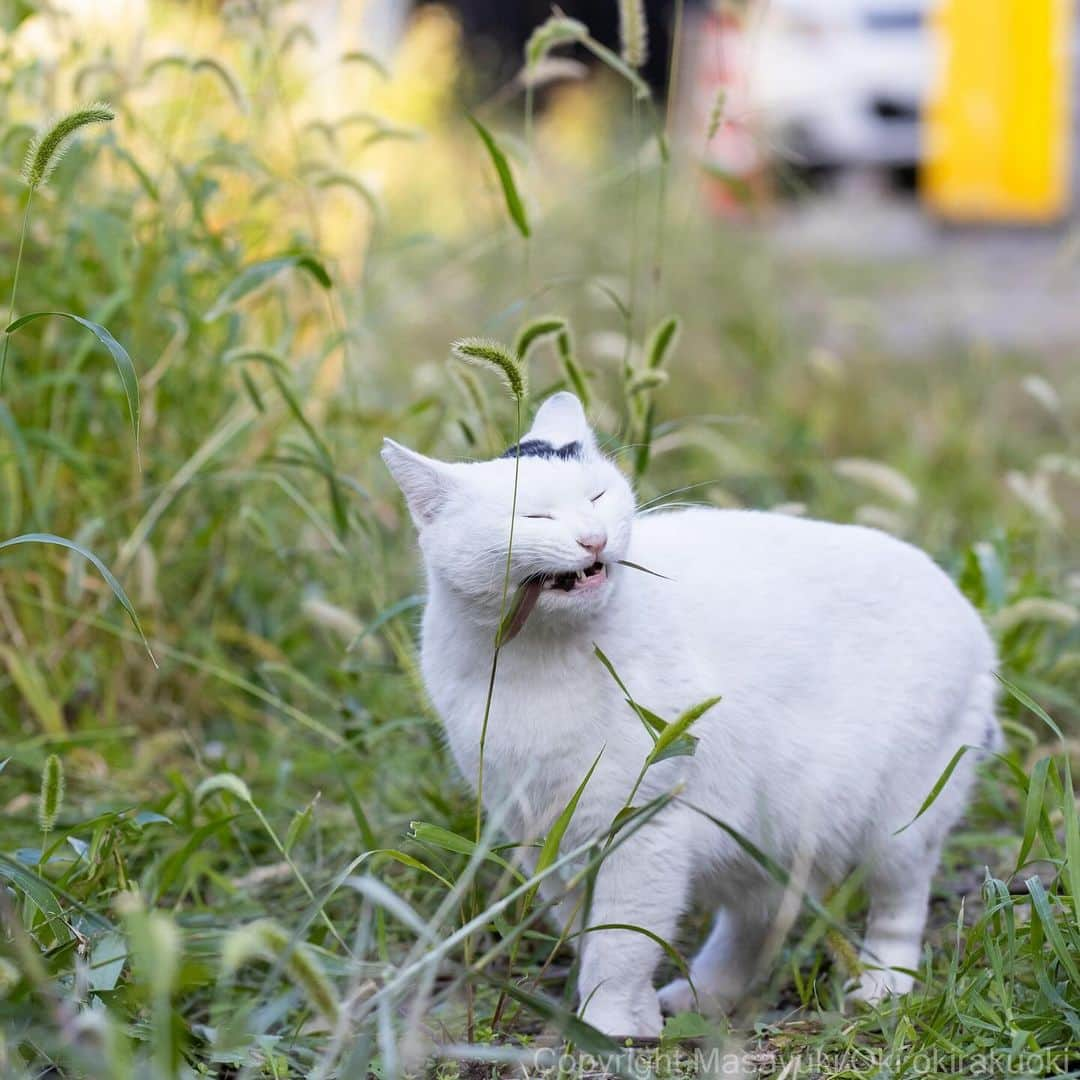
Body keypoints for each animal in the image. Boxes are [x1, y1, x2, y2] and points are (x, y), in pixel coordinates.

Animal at [382, 395, 1002, 1036]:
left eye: (597, 497)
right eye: (534, 516)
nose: (593, 540)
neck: (541, 657)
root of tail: (971, 614)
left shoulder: (640, 826)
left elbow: (619, 941)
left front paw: (606, 1024)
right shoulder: (545, 832)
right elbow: (589, 930)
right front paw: (630, 1018)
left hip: (901, 818)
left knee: (900, 902)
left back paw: (883, 986)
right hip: (766, 829)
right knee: (758, 917)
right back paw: (704, 997)